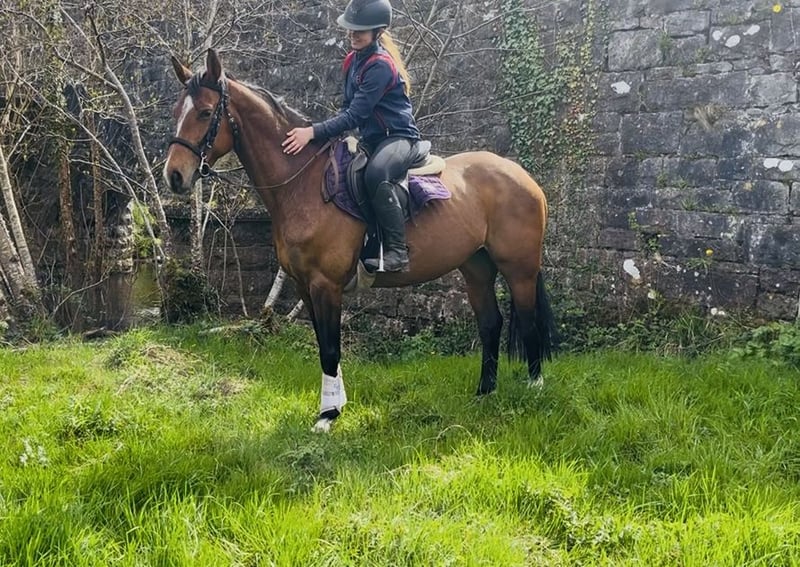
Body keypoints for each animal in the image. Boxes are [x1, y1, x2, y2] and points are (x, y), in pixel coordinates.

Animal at [164, 49, 556, 432]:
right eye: (176, 112)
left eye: (205, 112)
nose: (174, 176)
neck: (303, 183)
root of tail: (521, 175)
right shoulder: (305, 285)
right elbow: (324, 345)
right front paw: (335, 405)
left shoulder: (326, 284)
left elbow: (330, 349)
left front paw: (327, 416)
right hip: (476, 268)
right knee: (490, 324)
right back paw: (484, 393)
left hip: (519, 269)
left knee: (528, 320)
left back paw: (535, 388)